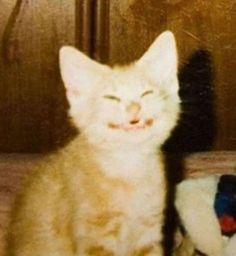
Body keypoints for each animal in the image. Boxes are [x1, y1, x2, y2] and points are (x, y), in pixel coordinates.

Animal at [6, 31, 179, 256]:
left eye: (146, 93)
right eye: (111, 97)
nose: (134, 108)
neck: (128, 166)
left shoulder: (149, 233)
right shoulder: (93, 238)